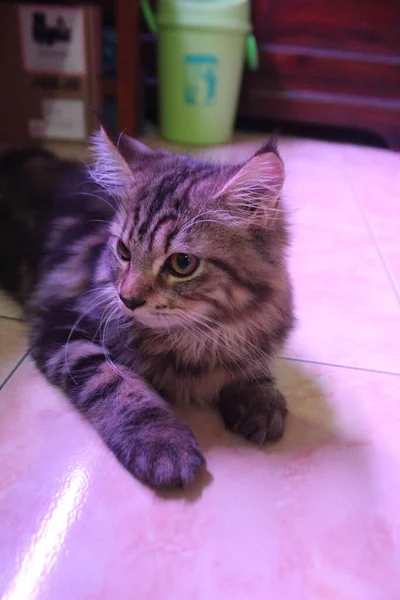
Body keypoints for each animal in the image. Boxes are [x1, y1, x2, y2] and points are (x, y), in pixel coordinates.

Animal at [0, 130, 294, 488]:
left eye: (183, 263)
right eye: (123, 251)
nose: (127, 298)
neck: (198, 337)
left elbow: (254, 365)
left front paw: (259, 398)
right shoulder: (63, 326)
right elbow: (118, 383)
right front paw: (161, 442)